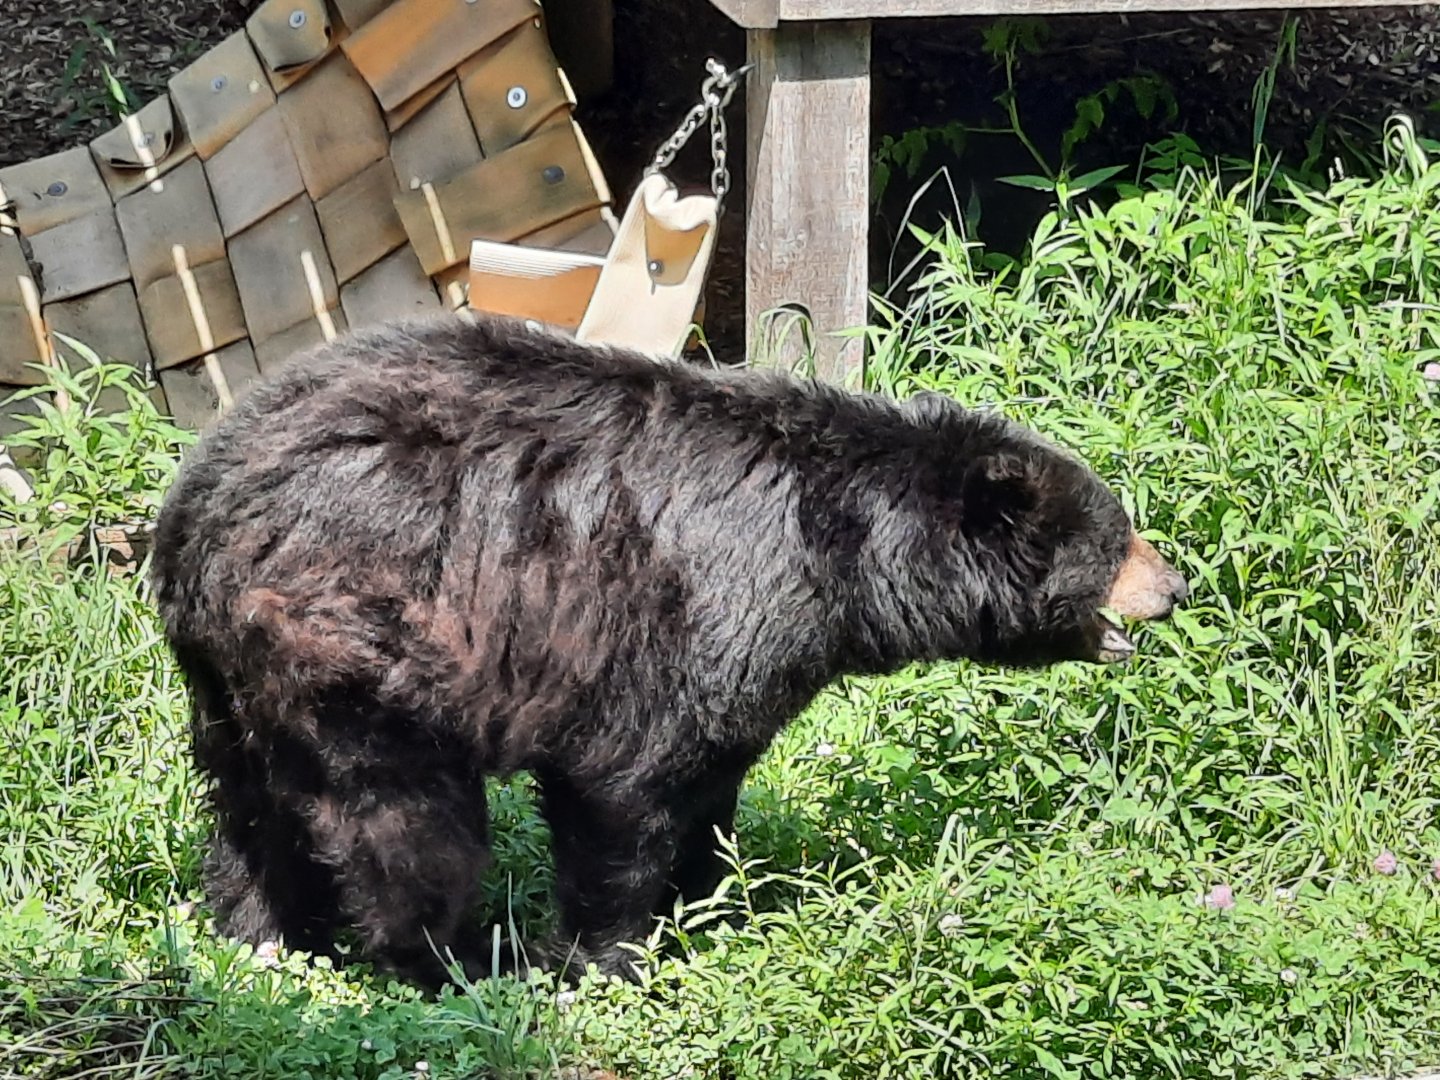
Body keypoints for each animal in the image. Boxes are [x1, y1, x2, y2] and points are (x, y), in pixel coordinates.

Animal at [148, 310, 1188, 989]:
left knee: (249, 808)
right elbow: (625, 789)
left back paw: (259, 936)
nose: (1178, 586)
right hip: (361, 633)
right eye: (1118, 538)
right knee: (400, 821)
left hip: (226, 681)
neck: (837, 561)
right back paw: (451, 960)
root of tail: (195, 506)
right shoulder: (683, 618)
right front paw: (603, 960)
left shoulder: (753, 662)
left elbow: (713, 783)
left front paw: (713, 908)